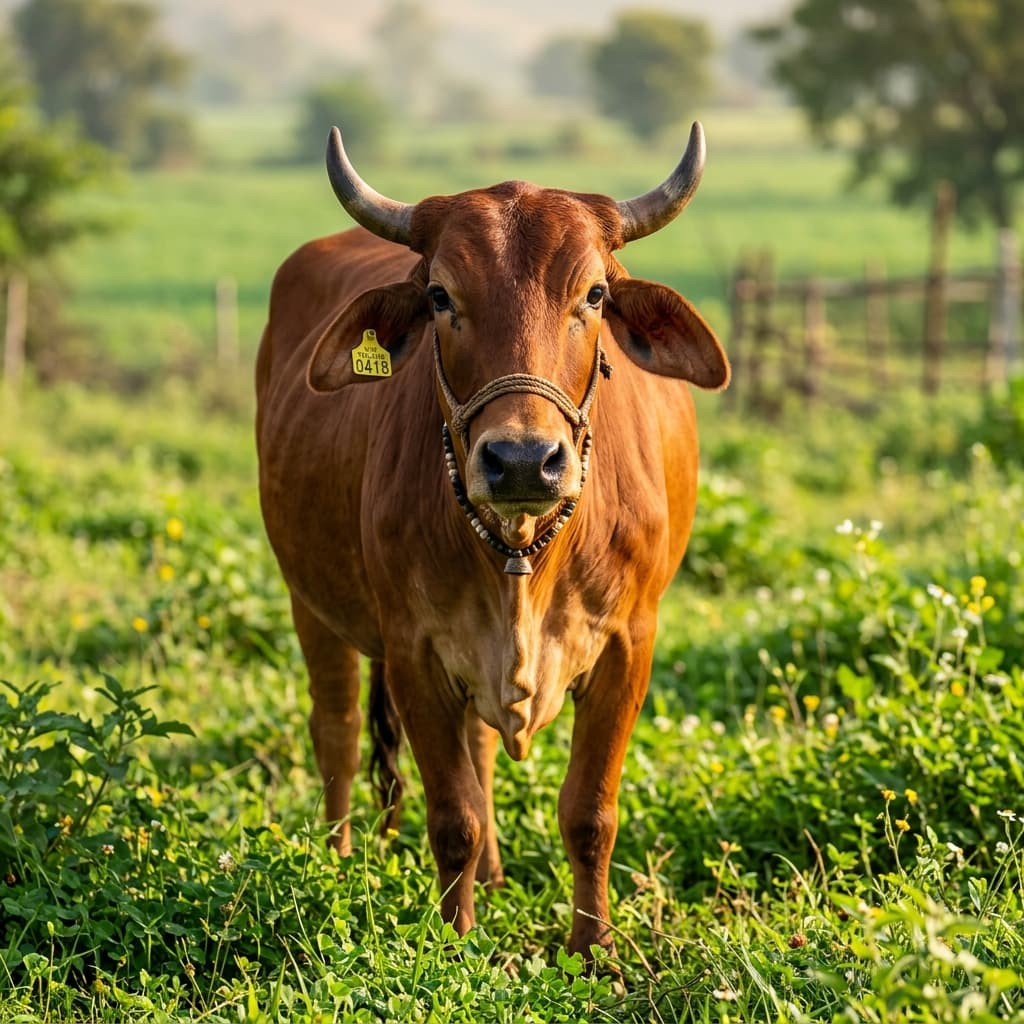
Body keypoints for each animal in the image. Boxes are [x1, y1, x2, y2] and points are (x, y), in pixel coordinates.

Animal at [256, 121, 729, 958]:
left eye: (595, 294)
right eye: (442, 295)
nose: (521, 460)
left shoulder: (629, 644)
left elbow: (589, 813)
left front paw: (594, 950)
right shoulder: (413, 650)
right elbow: (454, 818)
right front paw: (457, 940)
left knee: (476, 749)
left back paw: (499, 875)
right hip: (310, 600)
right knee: (337, 731)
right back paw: (338, 862)